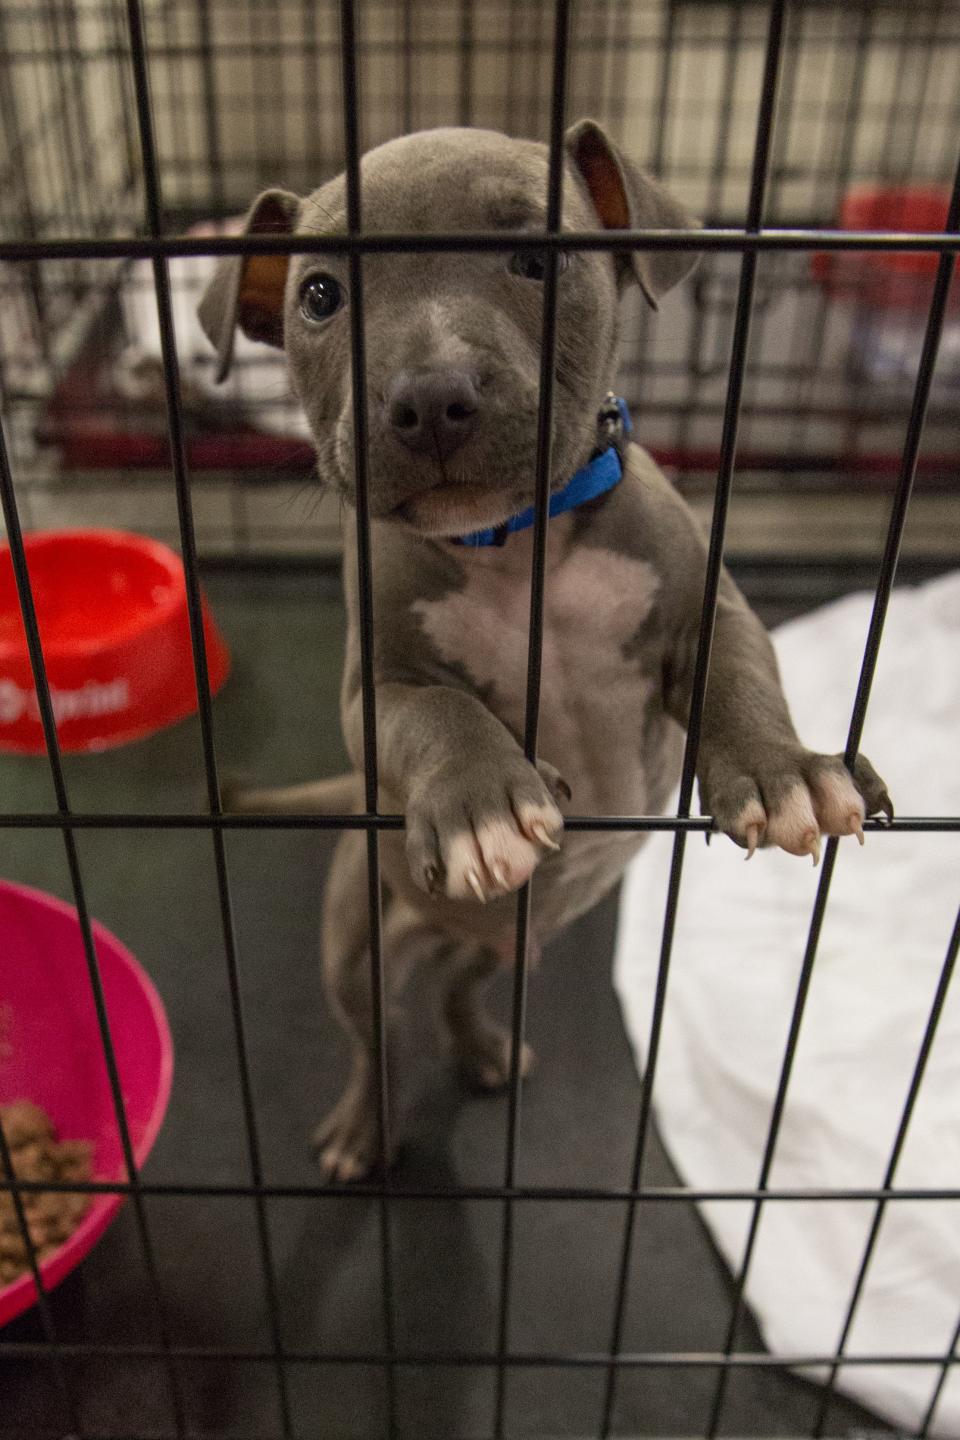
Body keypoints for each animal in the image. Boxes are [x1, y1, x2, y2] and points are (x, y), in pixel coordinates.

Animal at [197, 123, 892, 1180]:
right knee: (377, 1037)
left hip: (499, 943)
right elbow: (440, 713)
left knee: (458, 988)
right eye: (319, 295)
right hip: (358, 942)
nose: (429, 397)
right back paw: (365, 1125)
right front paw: (482, 802)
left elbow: (740, 677)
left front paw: (785, 775)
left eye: (537, 258)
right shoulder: (378, 690)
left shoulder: (703, 611)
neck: (519, 542)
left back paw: (482, 1046)